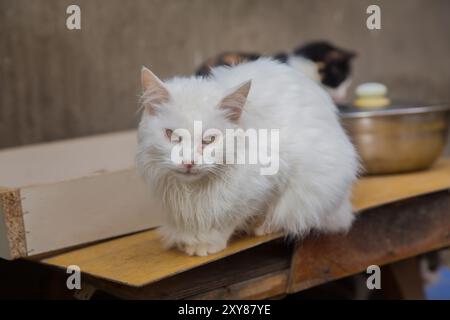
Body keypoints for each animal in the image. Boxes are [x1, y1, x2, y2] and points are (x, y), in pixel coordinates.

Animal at [137, 58, 358, 256]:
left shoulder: (268, 183)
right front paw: (187, 241)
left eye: (209, 139)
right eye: (171, 136)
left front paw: (208, 243)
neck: (195, 191)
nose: (189, 162)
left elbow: (235, 216)